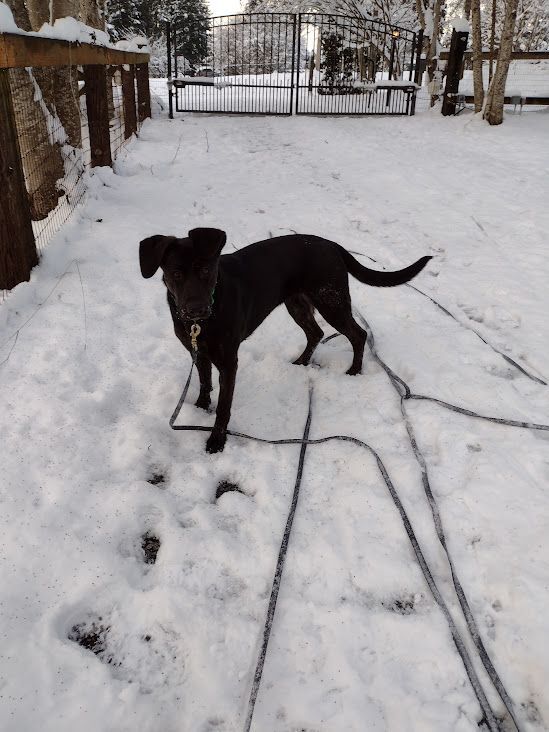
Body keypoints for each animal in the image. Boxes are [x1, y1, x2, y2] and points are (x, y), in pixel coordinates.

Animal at [139, 227, 430, 452]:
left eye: (206, 271)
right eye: (176, 274)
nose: (196, 309)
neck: (202, 323)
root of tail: (332, 245)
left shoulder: (229, 362)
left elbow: (224, 406)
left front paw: (217, 440)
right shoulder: (198, 352)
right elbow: (203, 382)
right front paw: (200, 408)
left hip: (330, 301)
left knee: (358, 334)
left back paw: (354, 370)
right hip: (298, 303)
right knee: (316, 332)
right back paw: (302, 362)